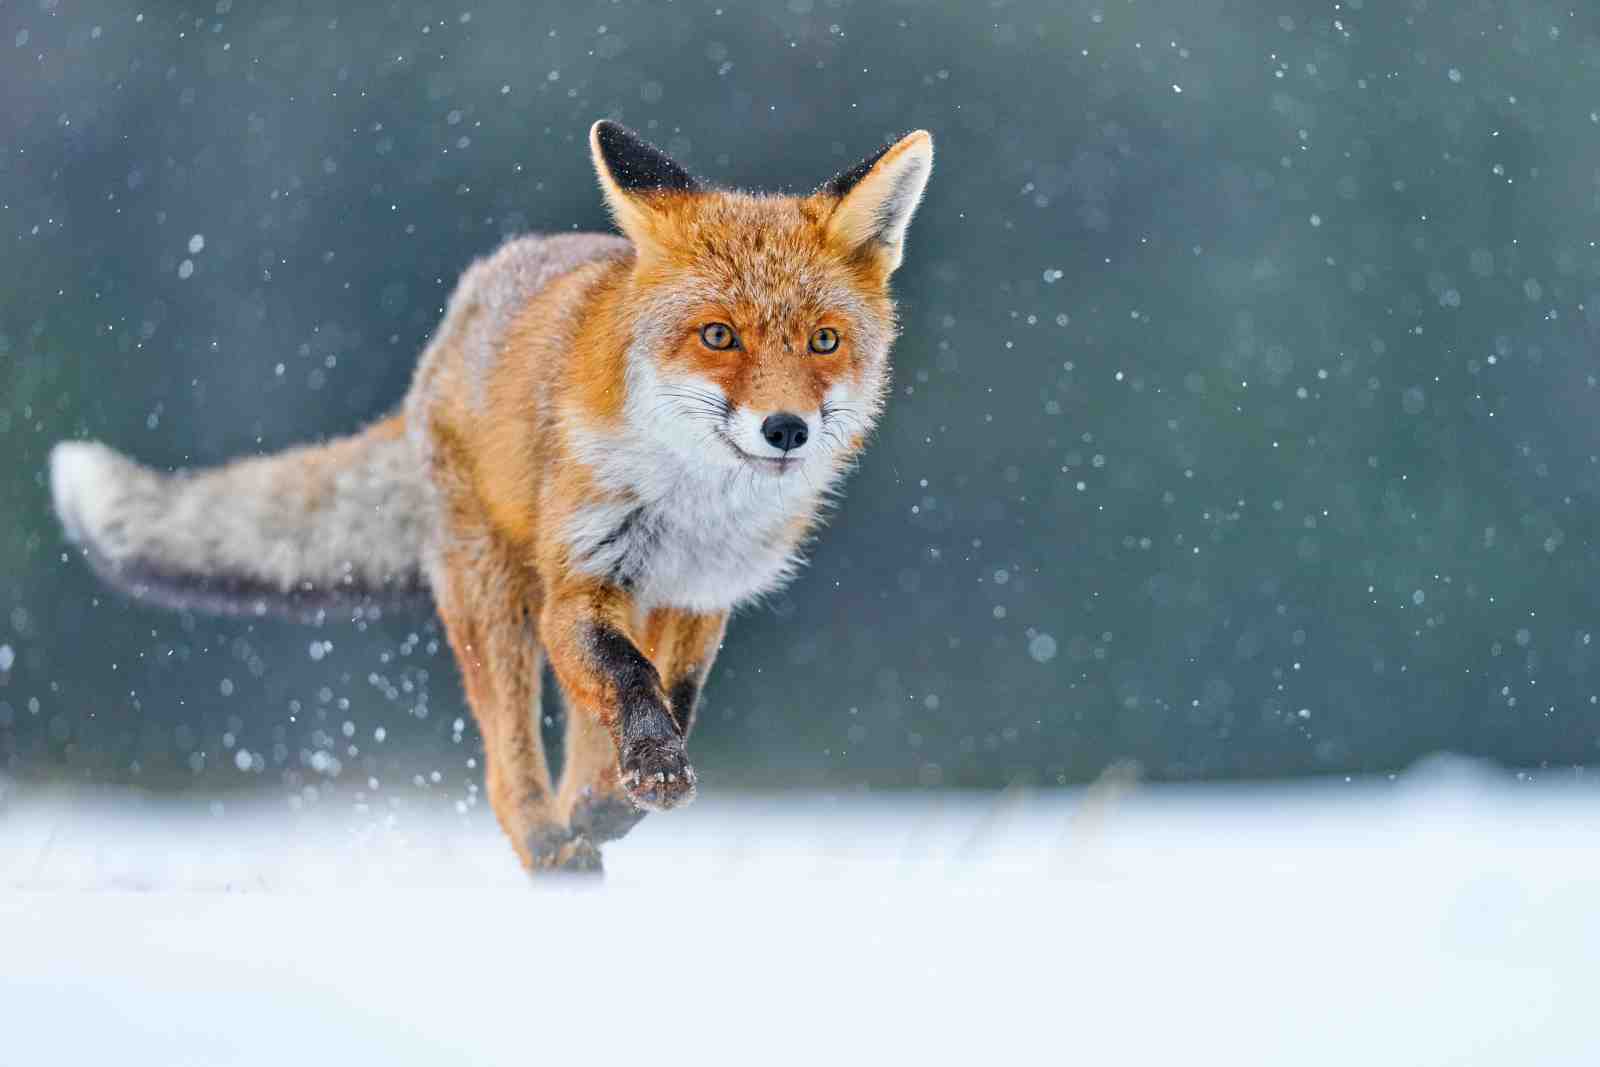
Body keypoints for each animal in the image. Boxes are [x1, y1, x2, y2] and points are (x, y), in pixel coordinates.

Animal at [47, 121, 933, 873]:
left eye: (824, 341)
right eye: (719, 335)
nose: (787, 429)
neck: (696, 509)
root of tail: (445, 336)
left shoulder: (699, 598)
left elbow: (673, 697)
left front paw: (622, 792)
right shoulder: (581, 584)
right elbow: (631, 682)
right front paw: (647, 772)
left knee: (576, 745)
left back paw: (585, 821)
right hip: (496, 601)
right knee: (510, 771)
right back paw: (550, 847)